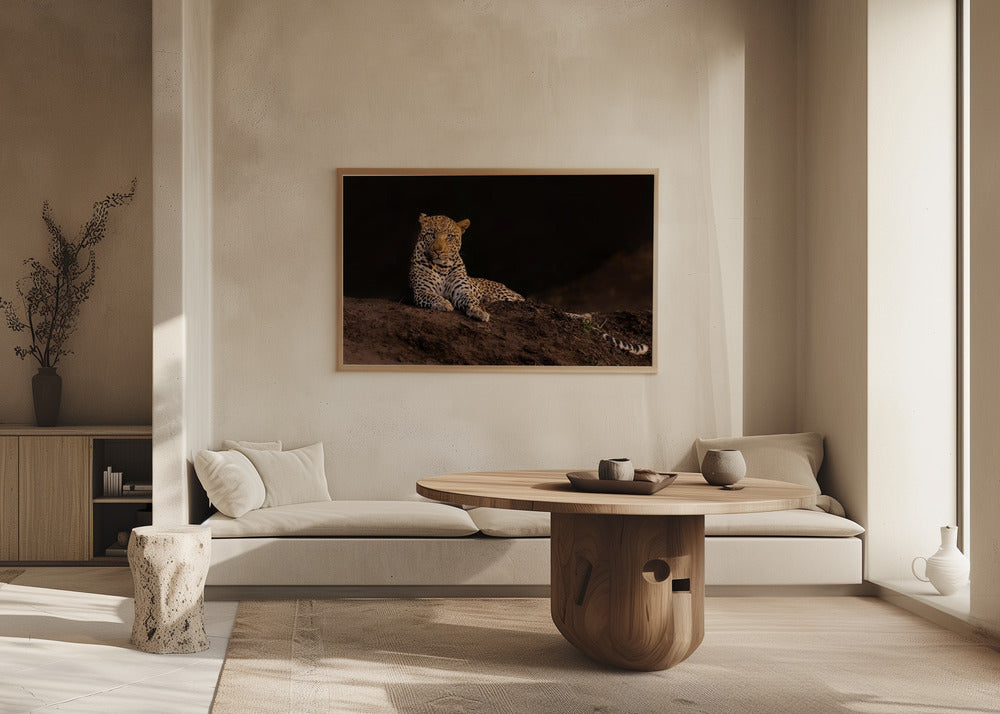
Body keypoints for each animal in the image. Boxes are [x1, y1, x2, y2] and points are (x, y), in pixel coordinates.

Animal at [408, 213, 649, 356]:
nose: (439, 251)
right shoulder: (420, 291)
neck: (442, 266)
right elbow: (433, 296)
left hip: (512, 297)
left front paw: (479, 311)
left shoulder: (462, 290)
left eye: (449, 236)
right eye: (431, 235)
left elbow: (469, 300)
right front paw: (444, 303)